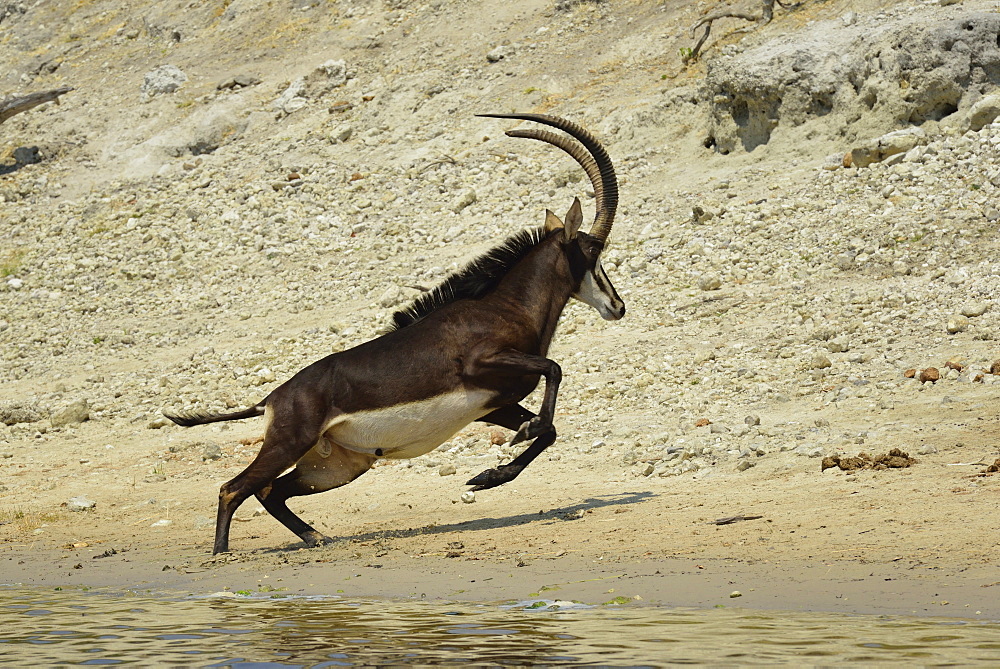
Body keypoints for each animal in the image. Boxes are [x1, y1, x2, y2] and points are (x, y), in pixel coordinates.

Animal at [168, 115, 628, 552]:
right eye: (593, 250)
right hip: (289, 444)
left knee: (269, 492)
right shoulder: (482, 364)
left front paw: (487, 475)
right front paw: (512, 445)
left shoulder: (494, 402)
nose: (618, 306)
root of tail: (271, 400)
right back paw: (223, 555)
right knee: (233, 489)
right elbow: (554, 369)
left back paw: (316, 538)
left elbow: (549, 429)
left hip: (337, 466)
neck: (505, 304)